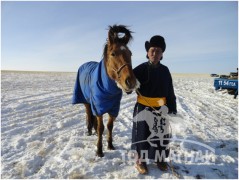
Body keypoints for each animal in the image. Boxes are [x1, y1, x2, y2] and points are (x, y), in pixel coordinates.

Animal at [72, 24, 138, 157]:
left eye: (130, 53)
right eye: (113, 54)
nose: (131, 82)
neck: (108, 90)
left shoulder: (114, 108)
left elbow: (109, 126)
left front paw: (110, 145)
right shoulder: (98, 107)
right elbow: (101, 127)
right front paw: (99, 150)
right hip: (86, 101)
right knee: (88, 114)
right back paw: (89, 131)